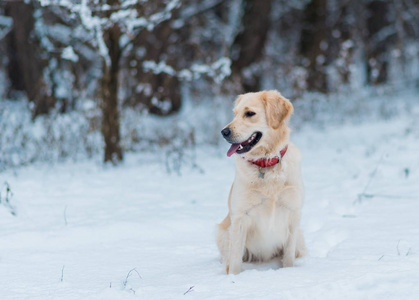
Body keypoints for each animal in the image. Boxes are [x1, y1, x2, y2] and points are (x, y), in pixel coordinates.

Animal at [217, 91, 306, 274]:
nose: (223, 132)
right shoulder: (240, 216)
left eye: (249, 113)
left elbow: (288, 256)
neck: (265, 164)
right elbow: (235, 260)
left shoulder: (293, 212)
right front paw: (233, 277)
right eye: (234, 114)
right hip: (222, 233)